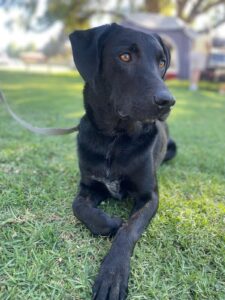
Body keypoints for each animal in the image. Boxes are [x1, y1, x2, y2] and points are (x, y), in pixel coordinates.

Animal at [69, 24, 177, 300]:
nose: (167, 101)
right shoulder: (89, 186)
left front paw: (113, 274)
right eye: (125, 56)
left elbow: (129, 229)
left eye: (162, 62)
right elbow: (79, 207)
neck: (114, 139)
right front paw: (109, 223)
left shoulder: (149, 196)